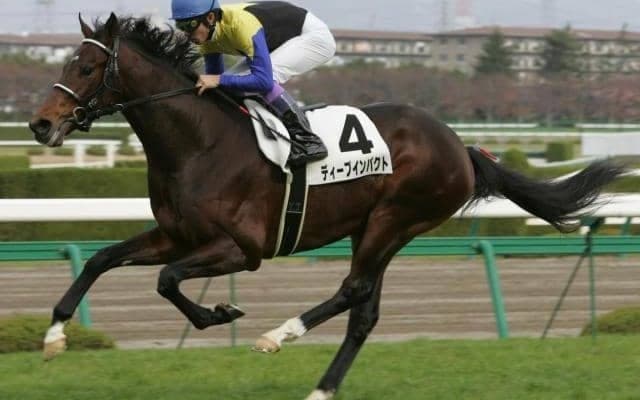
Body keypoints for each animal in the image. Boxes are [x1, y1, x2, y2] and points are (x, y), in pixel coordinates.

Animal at [29, 14, 625, 400]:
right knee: (364, 311)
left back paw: (279, 335)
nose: (39, 123)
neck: (199, 142)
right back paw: (323, 387)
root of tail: (461, 146)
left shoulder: (241, 249)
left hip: (395, 219)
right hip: (375, 227)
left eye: (87, 69)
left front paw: (222, 313)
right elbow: (101, 259)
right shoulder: (176, 235)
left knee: (353, 290)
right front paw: (55, 337)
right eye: (69, 61)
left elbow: (168, 280)